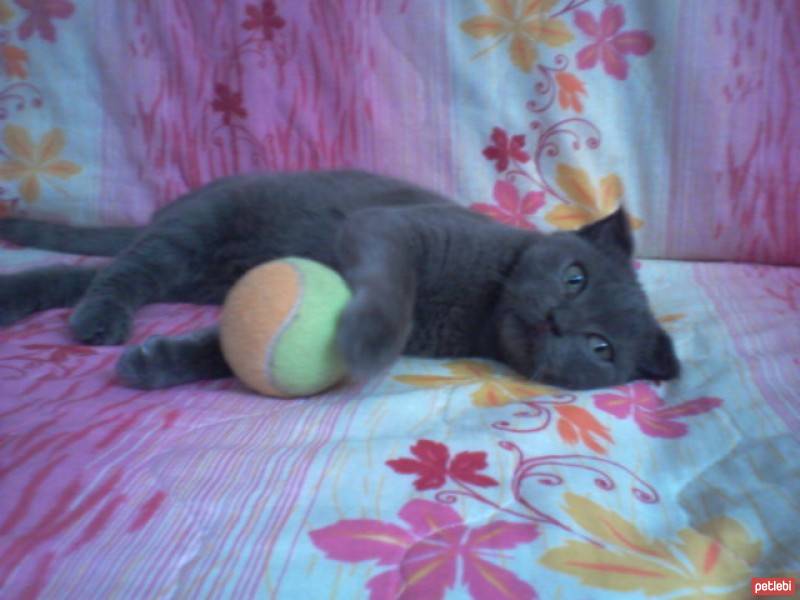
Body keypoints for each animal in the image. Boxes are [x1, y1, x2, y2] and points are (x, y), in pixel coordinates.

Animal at [0, 171, 680, 392]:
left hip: (197, 273)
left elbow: (224, 350)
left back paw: (21, 300)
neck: (480, 313)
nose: (559, 320)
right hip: (196, 229)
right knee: (125, 269)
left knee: (77, 273)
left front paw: (159, 363)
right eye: (574, 276)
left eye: (601, 349)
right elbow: (391, 289)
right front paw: (365, 343)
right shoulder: (391, 228)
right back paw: (98, 320)